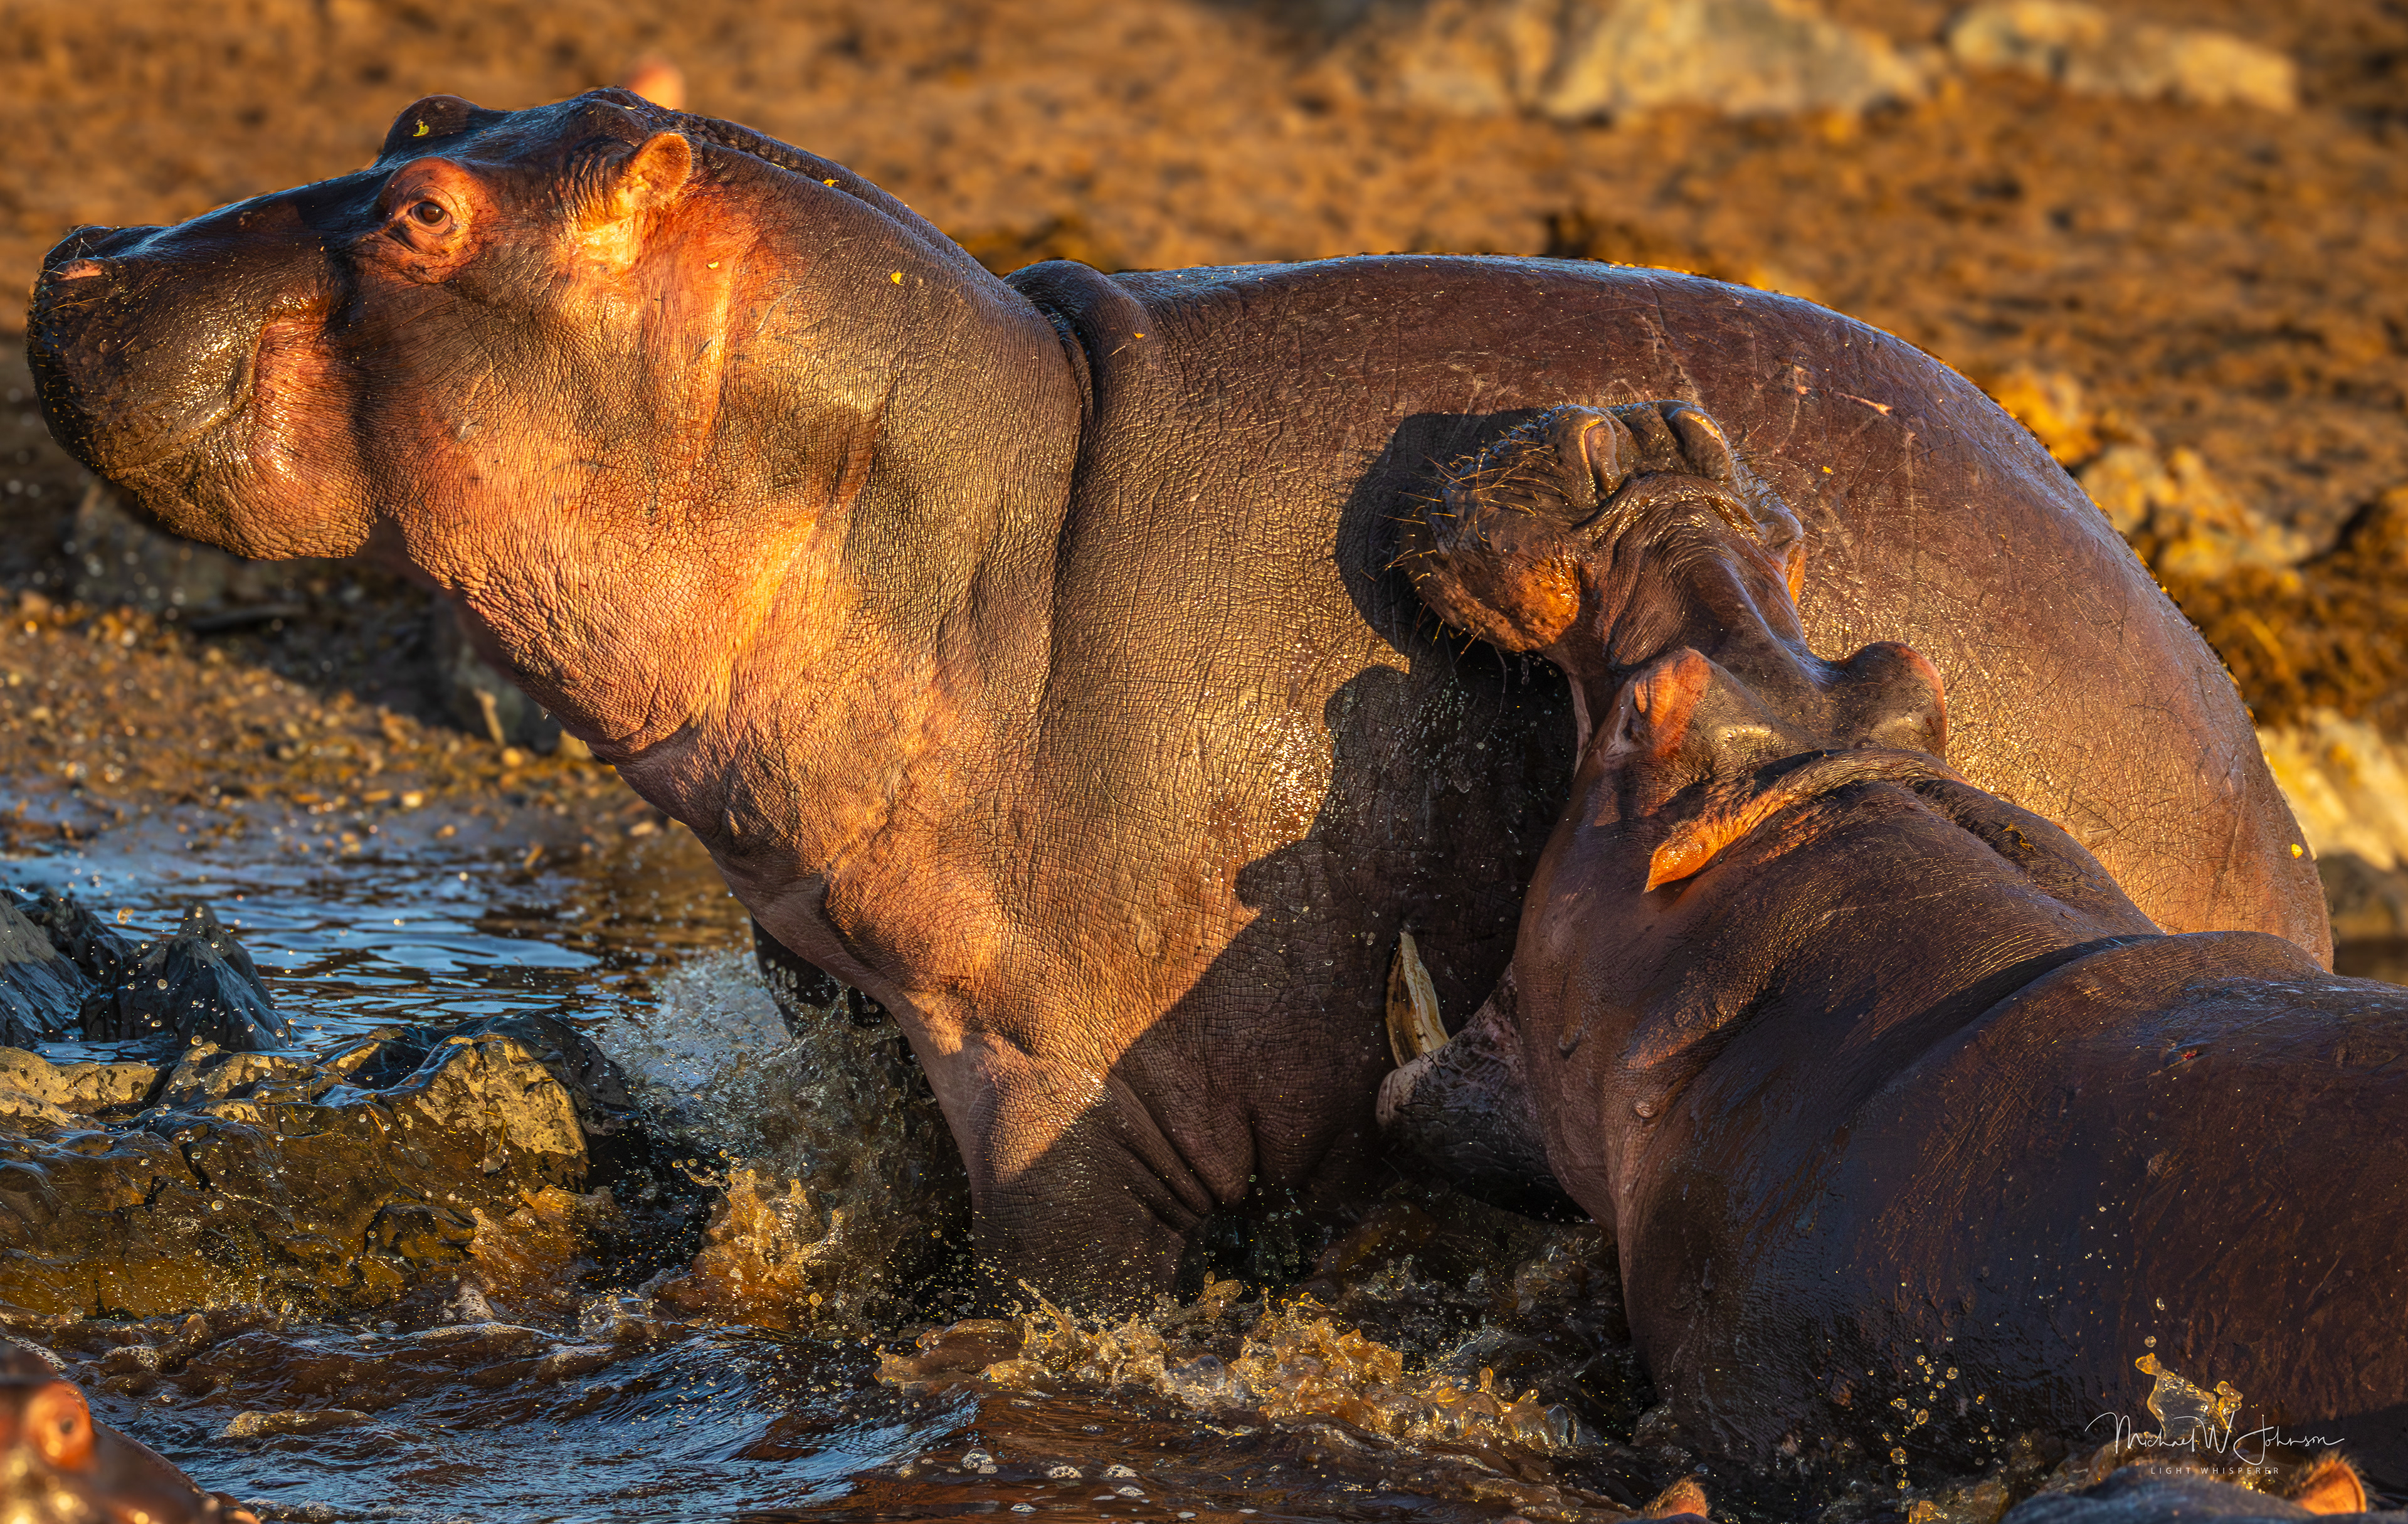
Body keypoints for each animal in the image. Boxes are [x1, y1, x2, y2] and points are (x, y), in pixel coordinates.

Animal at [25, 89, 2325, 1300]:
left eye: (421, 209)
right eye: (423, 118)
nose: (73, 251)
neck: (959, 520)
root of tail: (2279, 844)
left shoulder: (1073, 1097)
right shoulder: (855, 1001)